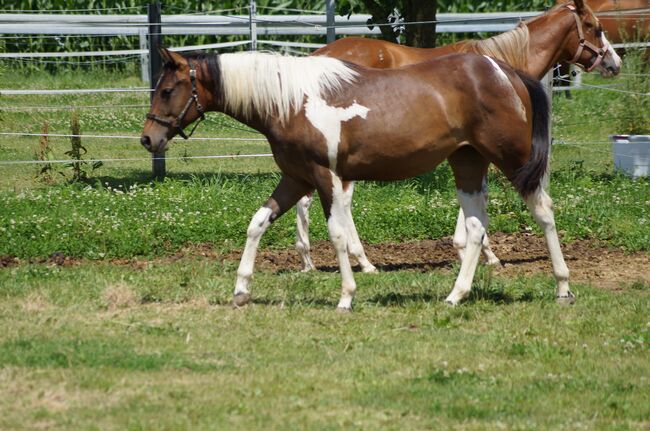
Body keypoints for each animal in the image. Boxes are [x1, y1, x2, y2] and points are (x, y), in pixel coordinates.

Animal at [140, 49, 568, 310]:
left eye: (167, 90)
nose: (148, 139)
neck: (292, 101)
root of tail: (505, 72)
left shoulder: (325, 177)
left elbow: (337, 234)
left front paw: (346, 296)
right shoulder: (296, 179)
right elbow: (257, 223)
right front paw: (241, 289)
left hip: (513, 161)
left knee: (544, 211)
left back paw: (563, 287)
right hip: (467, 163)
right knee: (477, 227)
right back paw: (455, 295)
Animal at [288, 0, 616, 276]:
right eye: (595, 27)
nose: (614, 63)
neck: (500, 68)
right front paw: (479, 252)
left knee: (308, 200)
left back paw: (308, 260)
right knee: (337, 202)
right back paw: (362, 261)